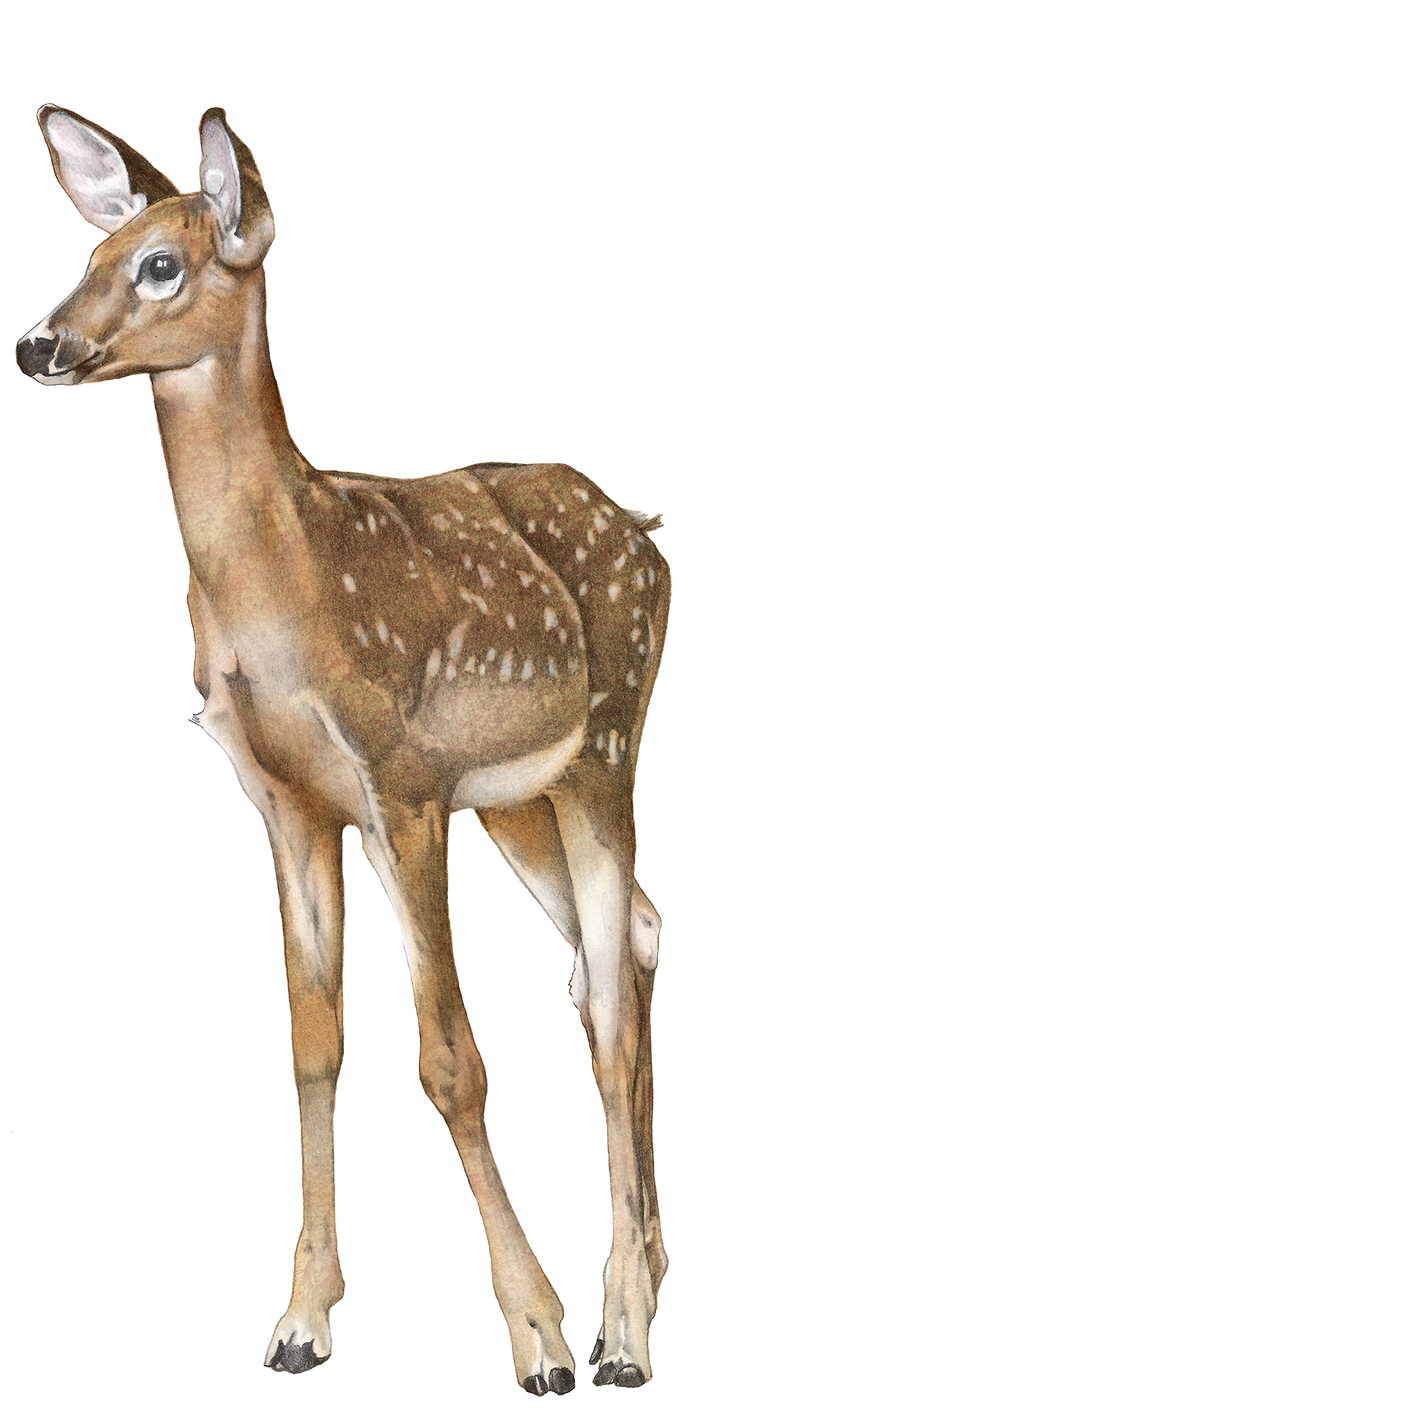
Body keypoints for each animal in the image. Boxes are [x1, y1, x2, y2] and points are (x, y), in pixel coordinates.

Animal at [17, 106, 670, 1393]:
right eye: (83, 256)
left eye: (159, 264)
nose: (40, 348)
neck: (285, 590)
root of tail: (653, 545)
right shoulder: (286, 800)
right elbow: (318, 1042)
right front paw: (300, 1325)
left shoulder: (397, 780)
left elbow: (450, 1057)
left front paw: (543, 1344)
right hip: (518, 802)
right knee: (623, 954)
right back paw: (644, 1299)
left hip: (610, 746)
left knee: (616, 1003)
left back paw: (621, 1342)